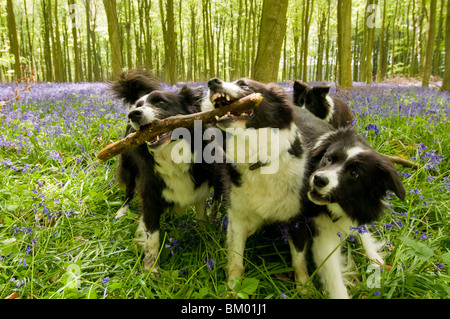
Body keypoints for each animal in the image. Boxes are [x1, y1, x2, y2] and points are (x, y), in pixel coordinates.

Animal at [110, 69, 214, 272]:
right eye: (138, 107)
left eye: (160, 102)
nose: (133, 114)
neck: (172, 157)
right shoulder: (150, 196)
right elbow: (152, 238)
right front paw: (151, 270)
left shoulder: (200, 186)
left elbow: (201, 217)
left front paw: (205, 238)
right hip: (129, 167)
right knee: (128, 190)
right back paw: (122, 211)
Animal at [202, 79, 312, 284]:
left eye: (244, 85)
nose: (212, 81)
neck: (258, 160)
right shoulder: (237, 217)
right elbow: (236, 260)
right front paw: (232, 287)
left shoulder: (297, 219)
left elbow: (299, 262)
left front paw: (304, 287)